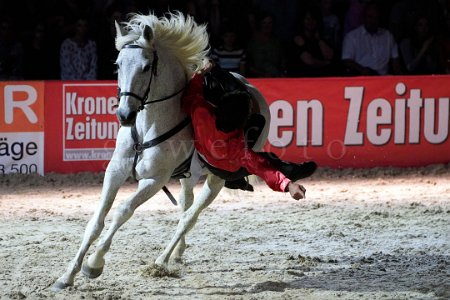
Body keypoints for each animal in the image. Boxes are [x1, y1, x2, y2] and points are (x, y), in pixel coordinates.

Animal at [53, 12, 270, 290]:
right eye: (118, 65)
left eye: (146, 67)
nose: (124, 115)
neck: (147, 128)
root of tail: (250, 88)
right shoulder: (115, 172)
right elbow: (96, 221)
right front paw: (67, 275)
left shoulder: (154, 180)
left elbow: (122, 211)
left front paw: (94, 263)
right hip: (189, 176)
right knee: (185, 206)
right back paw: (177, 253)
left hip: (217, 179)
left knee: (189, 217)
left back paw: (161, 261)